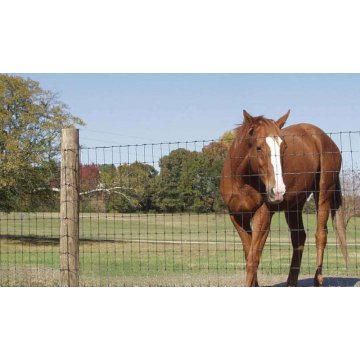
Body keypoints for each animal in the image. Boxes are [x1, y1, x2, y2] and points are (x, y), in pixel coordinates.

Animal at [221, 109, 348, 286]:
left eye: (284, 147)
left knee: (320, 236)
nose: (278, 191)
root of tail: (327, 140)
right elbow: (248, 254)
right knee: (299, 238)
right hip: (294, 206)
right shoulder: (237, 217)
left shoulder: (263, 215)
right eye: (258, 147)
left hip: (323, 195)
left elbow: (253, 259)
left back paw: (318, 280)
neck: (242, 181)